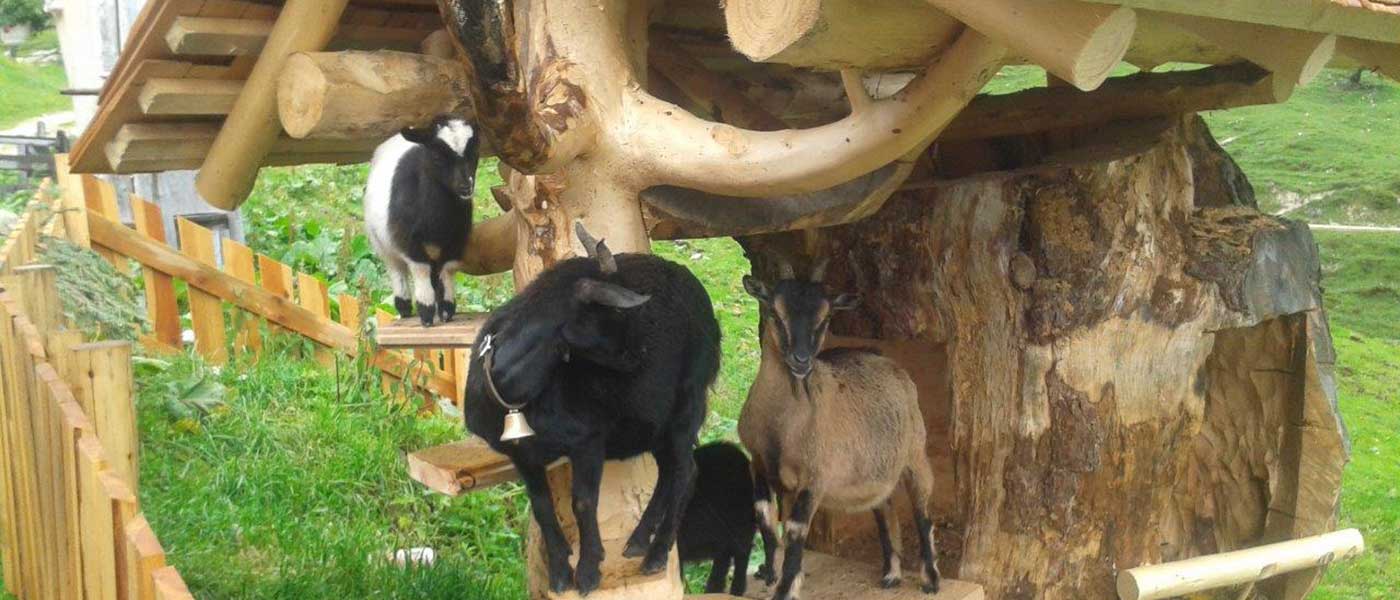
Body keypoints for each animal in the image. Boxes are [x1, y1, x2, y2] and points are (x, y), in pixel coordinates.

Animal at [733, 260, 940, 598]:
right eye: (775, 311)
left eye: (826, 317)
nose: (801, 360)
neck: (781, 429)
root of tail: (892, 366)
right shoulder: (758, 464)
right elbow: (765, 517)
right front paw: (771, 573)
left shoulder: (814, 477)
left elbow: (795, 531)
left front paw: (786, 587)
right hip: (875, 470)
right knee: (885, 510)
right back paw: (891, 573)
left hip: (915, 453)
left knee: (922, 513)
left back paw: (930, 579)